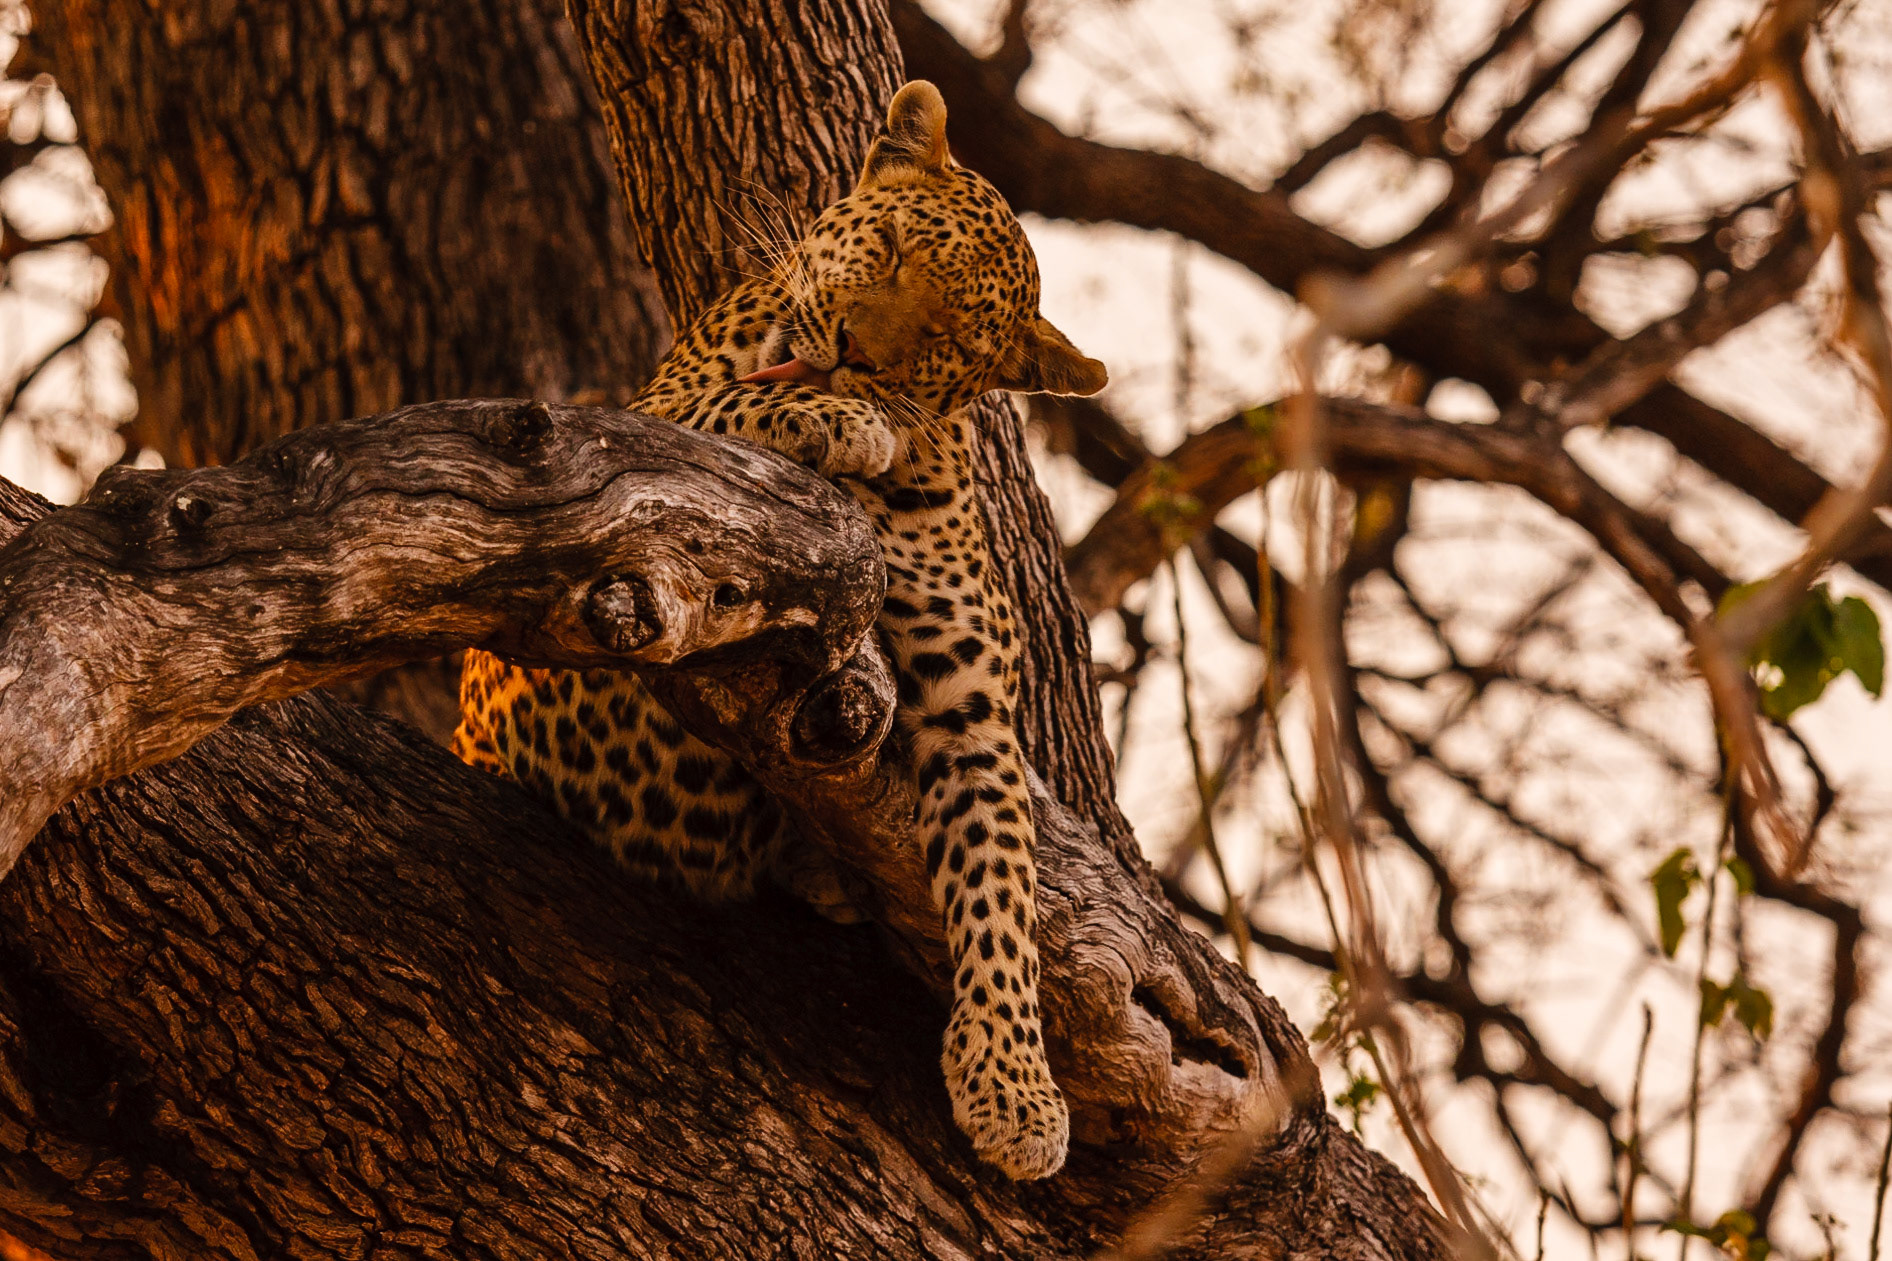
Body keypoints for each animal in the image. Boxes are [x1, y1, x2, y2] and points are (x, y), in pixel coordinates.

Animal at [453, 81, 1107, 1180]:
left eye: (953, 341)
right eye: (889, 247)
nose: (846, 347)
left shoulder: (971, 710)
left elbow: (999, 883)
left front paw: (1012, 1084)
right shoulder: (608, 534)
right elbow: (706, 423)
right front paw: (840, 419)